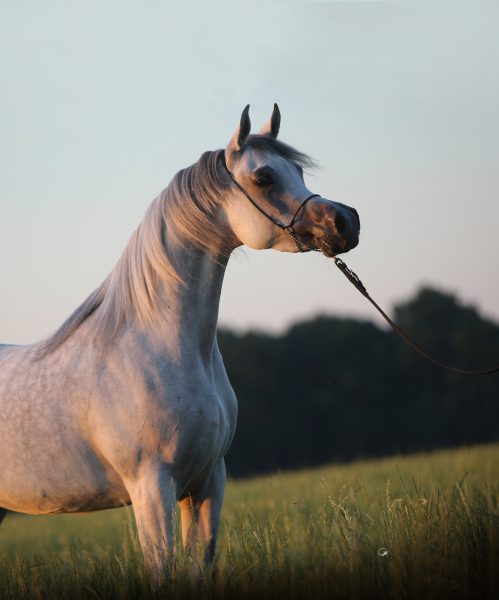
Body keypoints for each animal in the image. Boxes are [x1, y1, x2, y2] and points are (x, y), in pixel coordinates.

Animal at [0, 105, 362, 584]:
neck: (163, 348)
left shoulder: (209, 482)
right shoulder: (152, 488)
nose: (347, 221)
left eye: (299, 170)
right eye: (263, 177)